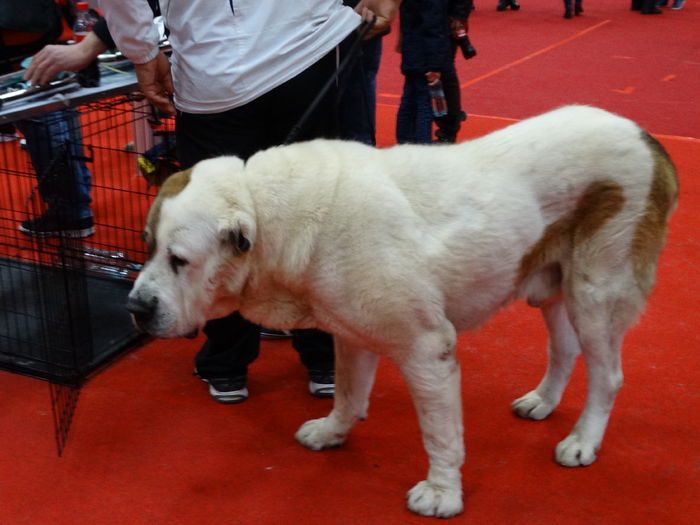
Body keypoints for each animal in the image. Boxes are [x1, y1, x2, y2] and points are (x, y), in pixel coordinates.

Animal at [126, 105, 680, 516]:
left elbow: (440, 432)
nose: (135, 306)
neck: (270, 218)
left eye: (180, 260)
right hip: (554, 287)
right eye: (148, 247)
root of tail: (647, 138)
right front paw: (333, 432)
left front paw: (442, 492)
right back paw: (542, 401)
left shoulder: (427, 349)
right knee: (563, 349)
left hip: (596, 291)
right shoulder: (349, 334)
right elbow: (348, 392)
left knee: (607, 375)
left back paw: (582, 441)